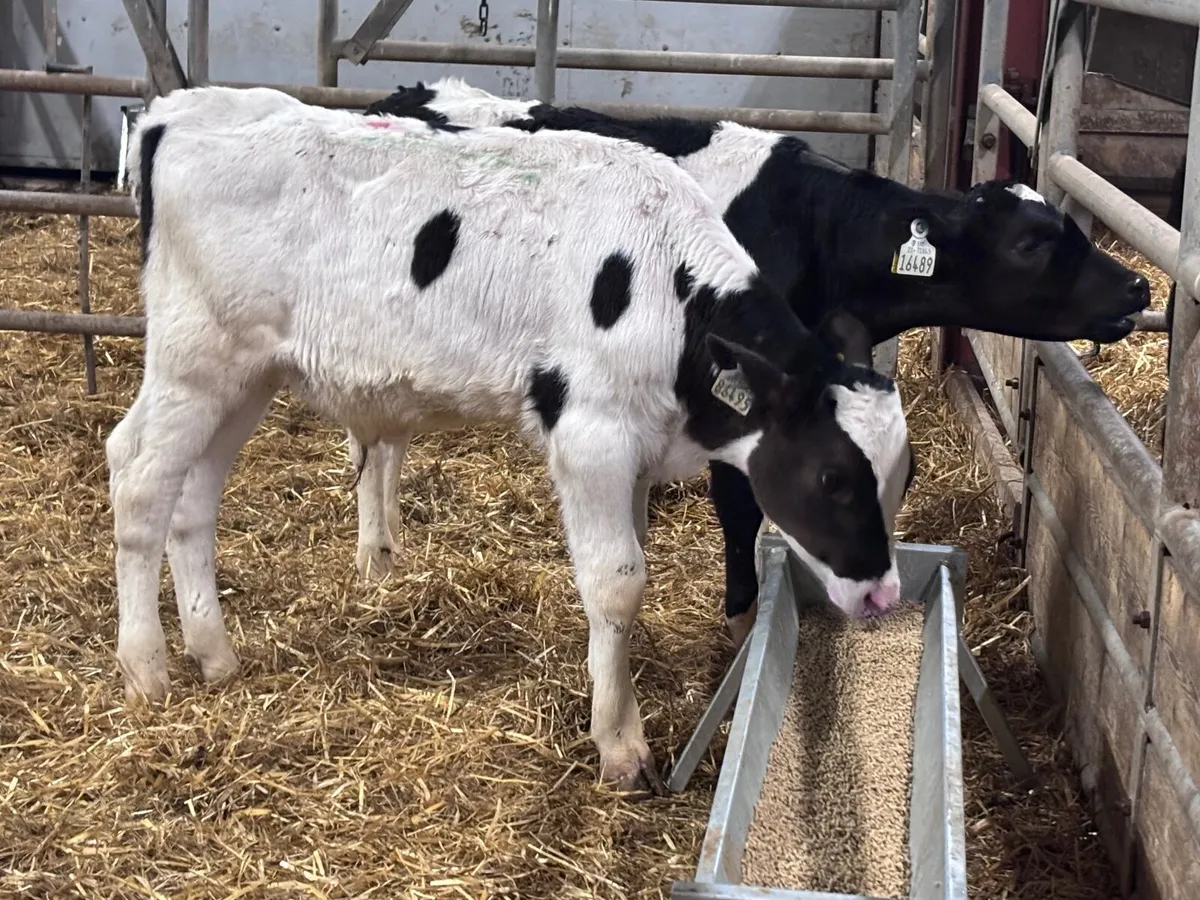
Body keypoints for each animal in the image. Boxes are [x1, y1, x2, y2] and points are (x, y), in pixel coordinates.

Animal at [111, 85, 913, 793]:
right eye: (833, 478)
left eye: (898, 479)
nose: (883, 594)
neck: (667, 287)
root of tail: (175, 113)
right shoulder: (591, 434)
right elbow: (619, 581)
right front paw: (621, 744)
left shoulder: (636, 453)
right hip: (195, 360)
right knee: (139, 476)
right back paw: (147, 669)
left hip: (246, 375)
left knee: (194, 498)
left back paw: (214, 654)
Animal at [359, 76, 1152, 644]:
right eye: (1031, 243)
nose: (1140, 286)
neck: (810, 223)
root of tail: (404, 93)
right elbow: (739, 508)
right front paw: (742, 618)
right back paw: (375, 553)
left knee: (384, 433)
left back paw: (384, 554)